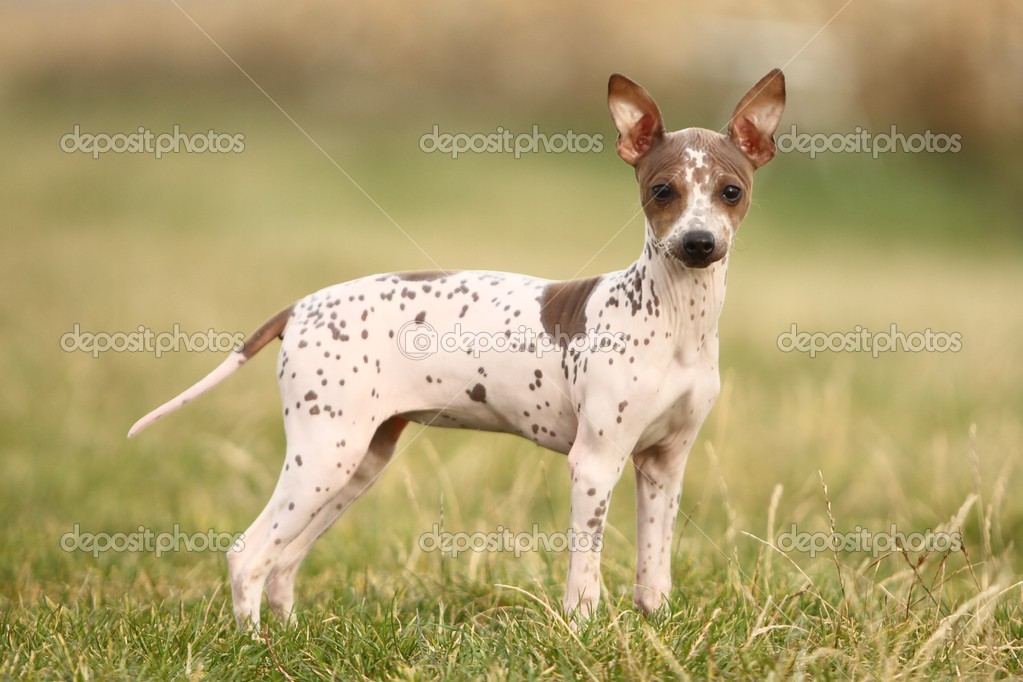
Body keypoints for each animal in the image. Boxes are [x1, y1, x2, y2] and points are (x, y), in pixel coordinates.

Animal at [130, 69, 785, 629]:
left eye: (730, 192)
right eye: (662, 190)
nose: (698, 243)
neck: (675, 321)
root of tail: (300, 307)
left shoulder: (664, 466)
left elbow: (654, 572)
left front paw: (653, 627)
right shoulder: (595, 464)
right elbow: (586, 576)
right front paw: (581, 631)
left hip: (356, 463)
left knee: (283, 561)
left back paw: (287, 637)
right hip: (323, 455)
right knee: (248, 555)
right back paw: (256, 646)